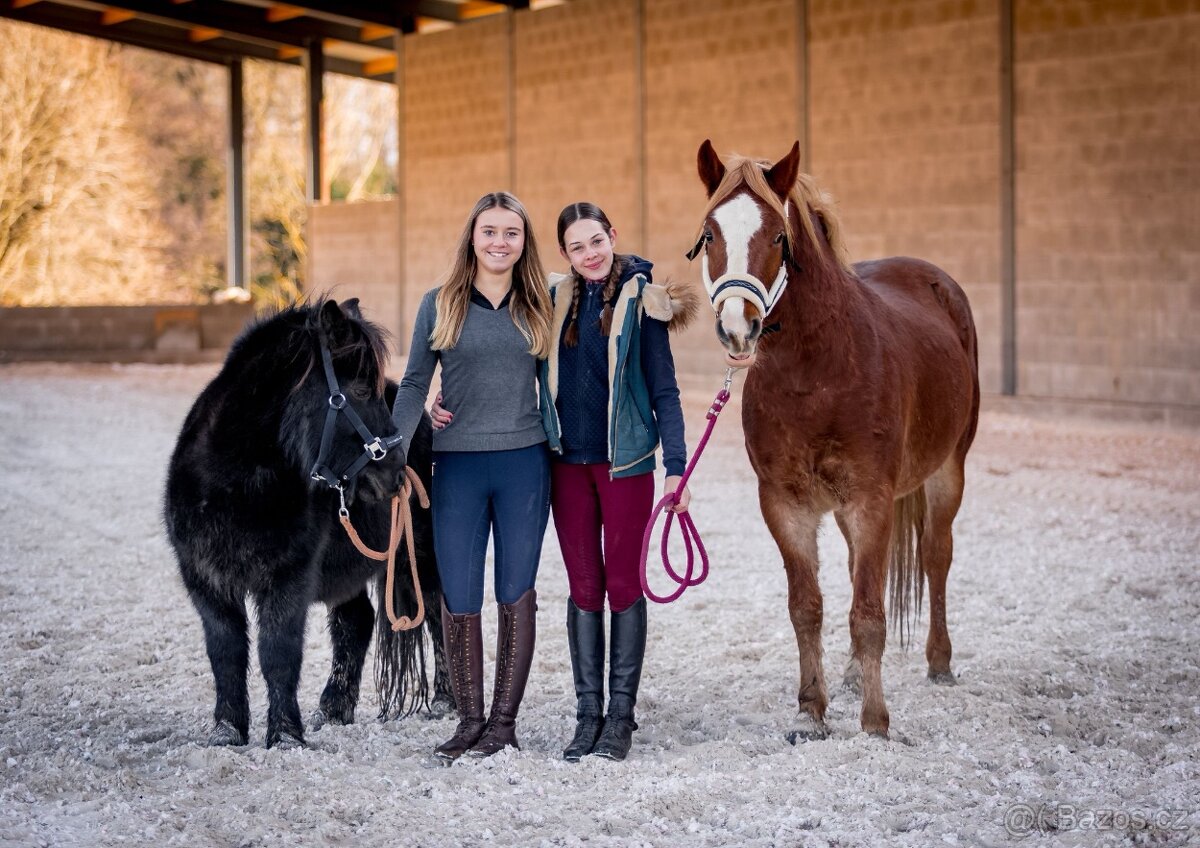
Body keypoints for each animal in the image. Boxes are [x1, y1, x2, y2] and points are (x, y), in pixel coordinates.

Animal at [164, 297, 449, 748]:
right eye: (360, 391)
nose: (397, 473)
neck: (234, 485)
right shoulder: (206, 580)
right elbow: (226, 652)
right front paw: (228, 730)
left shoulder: (288, 578)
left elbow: (278, 653)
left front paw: (284, 735)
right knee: (356, 622)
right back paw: (333, 709)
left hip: (419, 552)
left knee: (437, 612)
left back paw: (444, 700)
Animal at [689, 141, 979, 740]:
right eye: (709, 234)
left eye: (779, 236)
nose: (737, 328)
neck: (815, 371)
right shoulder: (785, 504)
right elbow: (808, 607)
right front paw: (810, 711)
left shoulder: (871, 500)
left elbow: (869, 613)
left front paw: (875, 722)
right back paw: (849, 676)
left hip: (948, 472)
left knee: (936, 557)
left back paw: (939, 664)